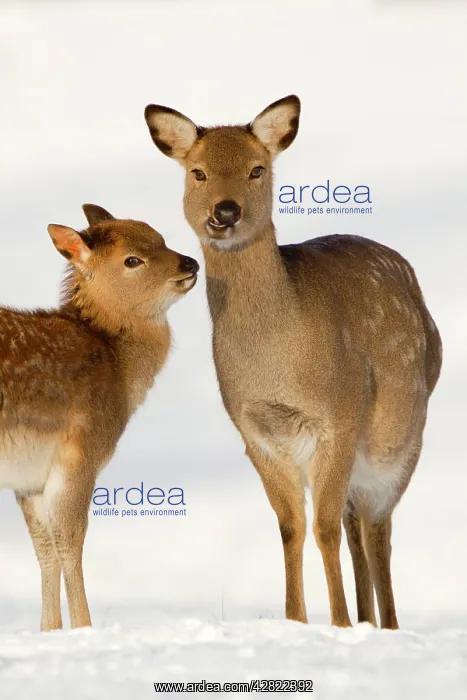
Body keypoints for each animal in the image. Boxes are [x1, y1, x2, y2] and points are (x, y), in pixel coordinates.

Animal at [0, 204, 199, 631]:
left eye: (161, 238)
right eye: (132, 260)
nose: (190, 263)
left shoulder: (28, 479)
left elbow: (45, 547)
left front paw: (50, 630)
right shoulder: (80, 453)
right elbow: (70, 540)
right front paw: (84, 627)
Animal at [144, 95, 442, 629]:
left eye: (257, 168)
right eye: (198, 172)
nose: (225, 211)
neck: (278, 370)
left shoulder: (340, 417)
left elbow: (322, 527)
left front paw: (338, 623)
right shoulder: (255, 434)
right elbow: (291, 526)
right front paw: (297, 622)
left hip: (402, 434)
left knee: (375, 524)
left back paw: (384, 624)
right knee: (355, 519)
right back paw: (369, 619)